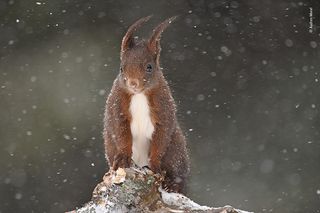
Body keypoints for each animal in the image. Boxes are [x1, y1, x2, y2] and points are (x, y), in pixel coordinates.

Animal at [103, 16, 190, 193]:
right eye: (121, 68)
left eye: (149, 67)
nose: (133, 83)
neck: (139, 95)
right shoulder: (117, 108)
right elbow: (121, 134)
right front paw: (122, 158)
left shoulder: (164, 110)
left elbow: (161, 138)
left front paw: (155, 165)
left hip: (176, 150)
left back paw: (172, 184)